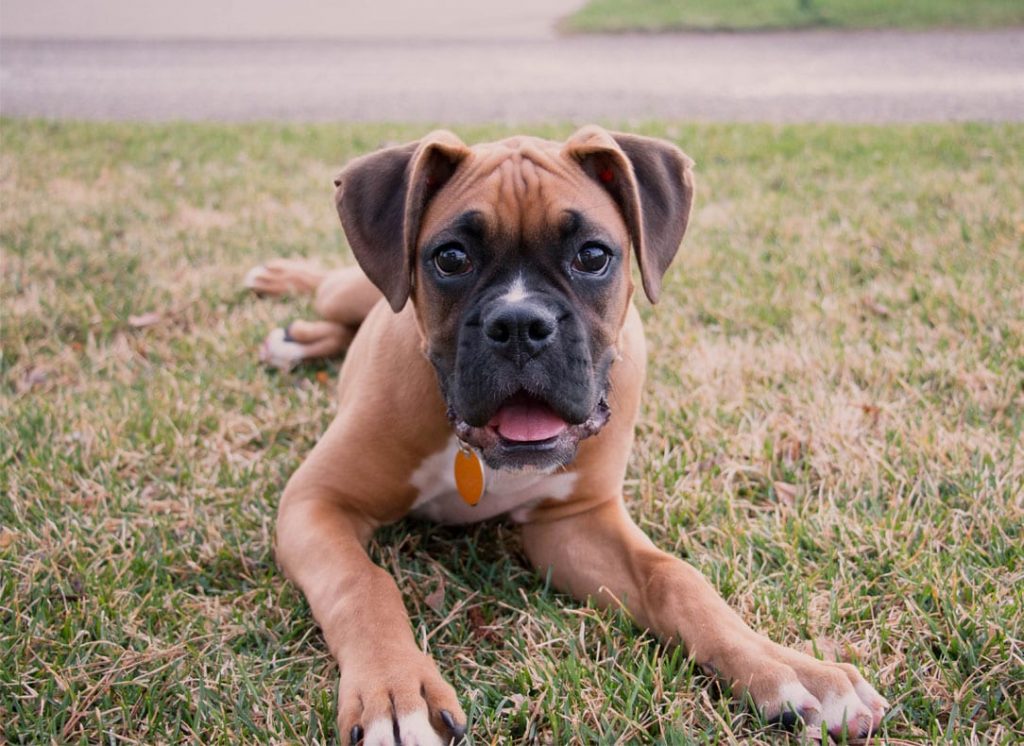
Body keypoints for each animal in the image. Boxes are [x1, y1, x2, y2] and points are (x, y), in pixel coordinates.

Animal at [247, 125, 888, 740]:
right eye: (450, 258)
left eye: (593, 255)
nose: (520, 323)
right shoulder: (316, 502)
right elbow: (364, 584)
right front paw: (394, 693)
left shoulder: (575, 523)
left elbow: (675, 577)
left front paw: (789, 670)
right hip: (352, 290)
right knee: (329, 287)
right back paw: (283, 287)